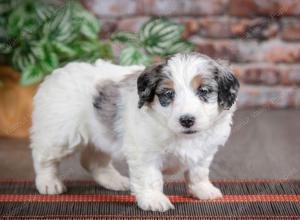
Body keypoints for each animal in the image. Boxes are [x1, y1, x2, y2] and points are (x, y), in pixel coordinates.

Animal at [31, 52, 239, 212]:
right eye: (168, 94)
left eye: (203, 91)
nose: (187, 120)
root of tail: (56, 74)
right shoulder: (145, 153)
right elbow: (150, 178)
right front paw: (153, 199)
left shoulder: (204, 151)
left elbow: (198, 172)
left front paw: (204, 190)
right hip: (59, 133)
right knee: (44, 158)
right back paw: (49, 183)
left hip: (101, 133)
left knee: (93, 161)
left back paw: (114, 180)